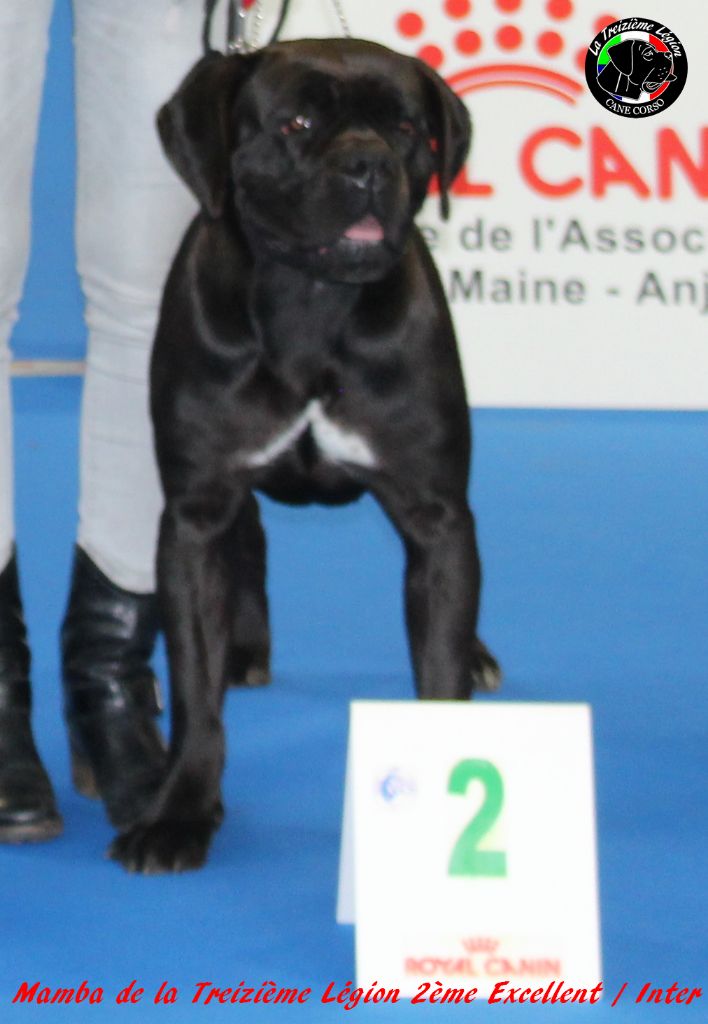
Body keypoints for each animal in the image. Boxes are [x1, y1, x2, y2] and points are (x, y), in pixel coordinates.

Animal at [109, 37, 497, 872]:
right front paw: (180, 813)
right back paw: (246, 644)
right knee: (248, 544)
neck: (312, 306)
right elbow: (194, 688)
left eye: (407, 127)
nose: (368, 163)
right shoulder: (195, 513)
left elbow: (441, 657)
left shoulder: (437, 516)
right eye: (296, 122)